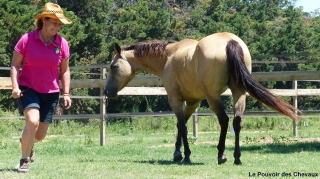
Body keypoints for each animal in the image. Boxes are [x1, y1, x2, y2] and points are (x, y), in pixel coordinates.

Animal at [104, 31, 300, 165]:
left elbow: (182, 126)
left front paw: (186, 156)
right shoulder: (192, 102)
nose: (106, 92)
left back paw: (221, 155)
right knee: (237, 122)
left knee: (224, 120)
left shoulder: (175, 99)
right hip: (239, 93)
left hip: (213, 97)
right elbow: (180, 125)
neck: (169, 55)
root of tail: (230, 41)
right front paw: (177, 153)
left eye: (113, 66)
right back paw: (237, 158)